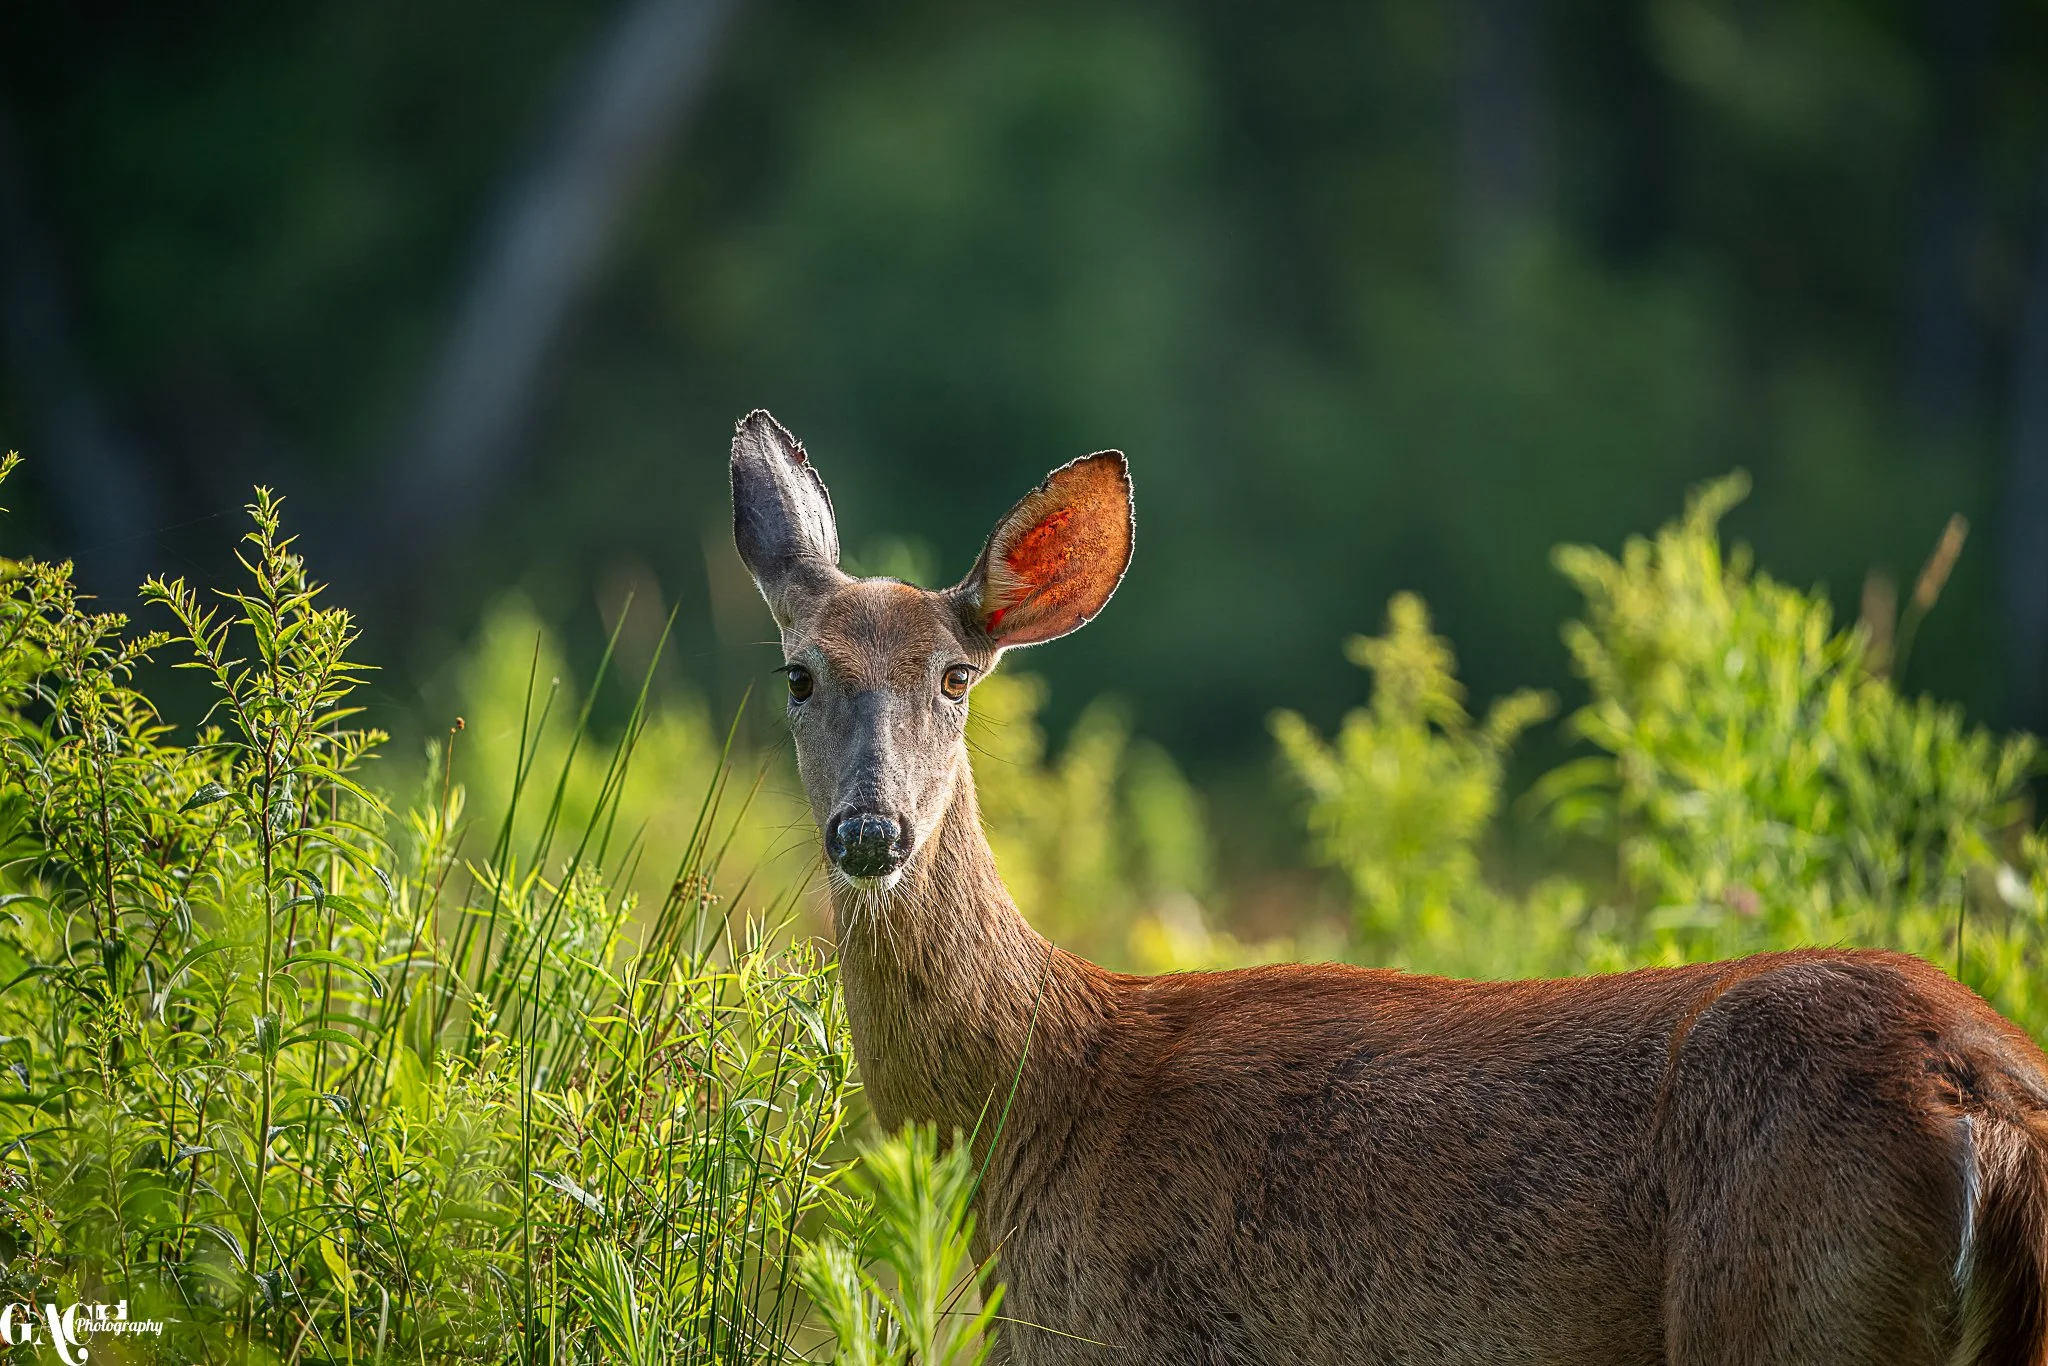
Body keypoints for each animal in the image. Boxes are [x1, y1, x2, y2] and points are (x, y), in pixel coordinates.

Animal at [728, 407, 2048, 1366]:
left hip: (1782, 1302)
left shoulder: (1117, 1335)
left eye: (955, 676)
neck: (1035, 1110)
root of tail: (1993, 1116)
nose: (870, 829)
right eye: (797, 674)